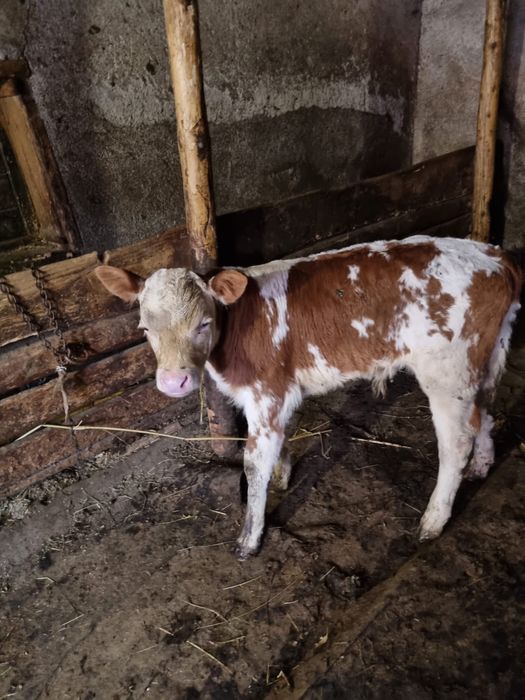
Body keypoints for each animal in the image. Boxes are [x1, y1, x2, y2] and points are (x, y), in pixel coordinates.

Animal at [95, 235, 522, 559]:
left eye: (203, 323)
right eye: (144, 328)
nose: (173, 381)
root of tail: (492, 254)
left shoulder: (266, 391)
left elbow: (254, 463)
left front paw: (250, 538)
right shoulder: (280, 391)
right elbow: (281, 440)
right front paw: (283, 476)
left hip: (446, 371)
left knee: (456, 441)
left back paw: (433, 520)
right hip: (483, 358)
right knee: (484, 409)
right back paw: (482, 465)